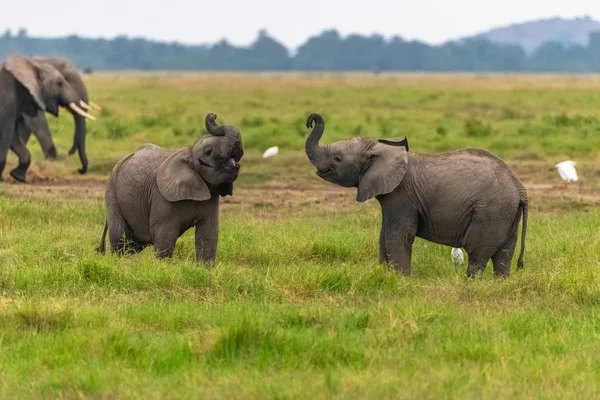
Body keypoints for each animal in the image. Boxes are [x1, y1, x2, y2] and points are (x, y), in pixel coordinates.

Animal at [0, 55, 94, 183]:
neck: (34, 62)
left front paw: (18, 176)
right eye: (60, 83)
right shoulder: (9, 99)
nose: (80, 170)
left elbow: (14, 137)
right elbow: (8, 133)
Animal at [97, 112, 243, 262]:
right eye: (208, 152)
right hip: (112, 194)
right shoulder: (161, 195)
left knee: (132, 245)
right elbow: (165, 233)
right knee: (120, 236)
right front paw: (163, 265)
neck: (188, 151)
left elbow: (208, 233)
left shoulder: (211, 195)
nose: (213, 115)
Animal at [302, 112, 528, 278]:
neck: (380, 150)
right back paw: (500, 282)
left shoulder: (402, 196)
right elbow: (384, 235)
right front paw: (385, 275)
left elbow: (398, 234)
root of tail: (520, 189)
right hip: (506, 214)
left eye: (337, 159)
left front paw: (400, 279)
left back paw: (469, 283)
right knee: (504, 254)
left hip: (490, 212)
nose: (311, 120)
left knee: (477, 252)